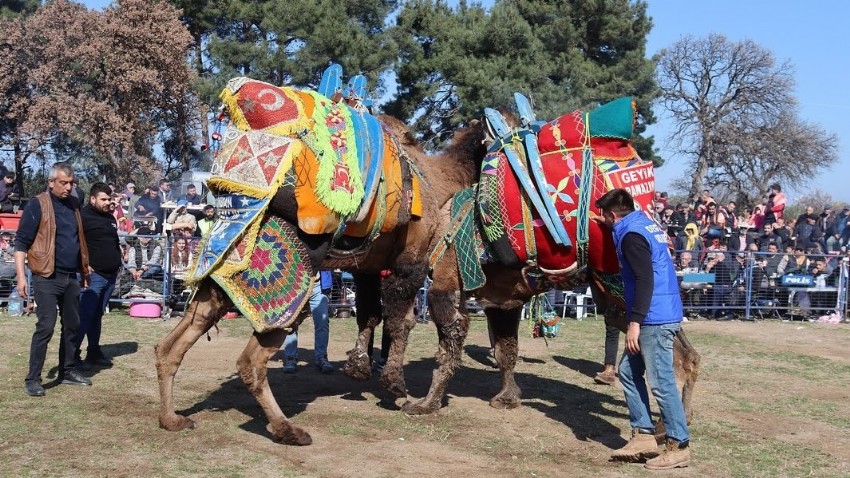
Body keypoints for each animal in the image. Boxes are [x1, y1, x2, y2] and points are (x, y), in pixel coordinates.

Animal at [152, 76, 484, 446]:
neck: (436, 182)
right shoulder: (410, 260)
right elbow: (402, 320)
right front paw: (395, 384)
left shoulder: (367, 266)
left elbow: (369, 313)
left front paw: (358, 367)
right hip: (287, 293)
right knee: (249, 362)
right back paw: (288, 430)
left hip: (217, 284)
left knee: (168, 347)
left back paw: (171, 419)